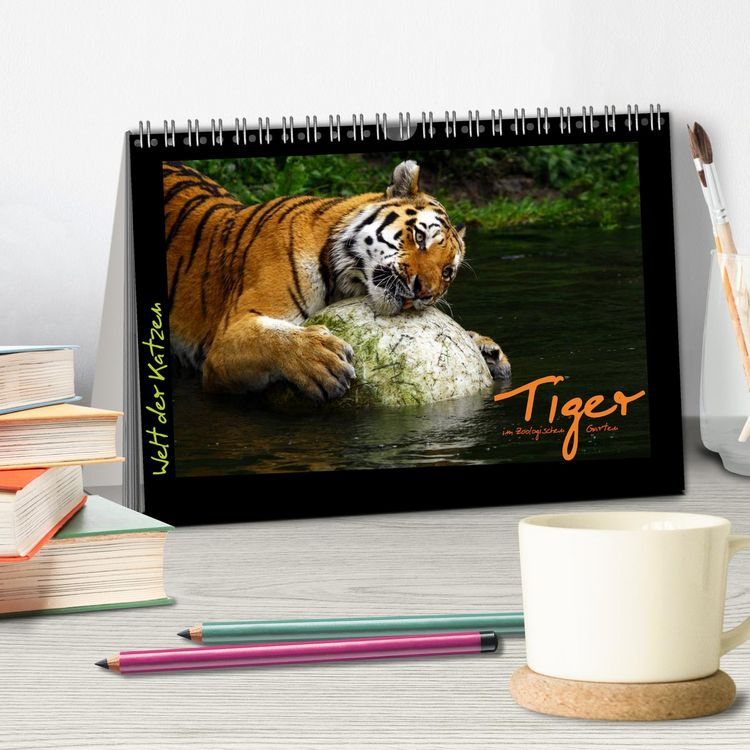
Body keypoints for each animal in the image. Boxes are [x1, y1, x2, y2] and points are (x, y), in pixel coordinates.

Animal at [163, 159, 511, 402]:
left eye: (447, 272)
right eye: (420, 237)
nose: (423, 292)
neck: (343, 279)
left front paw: (486, 349)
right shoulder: (223, 341)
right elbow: (270, 336)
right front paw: (320, 360)